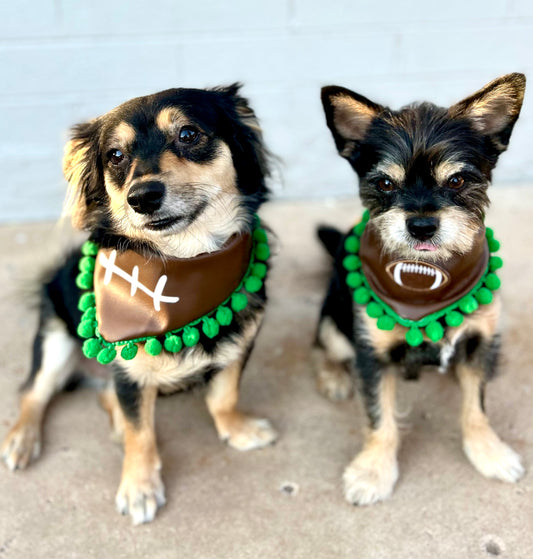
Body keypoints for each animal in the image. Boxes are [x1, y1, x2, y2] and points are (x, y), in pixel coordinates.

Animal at [3, 84, 278, 524]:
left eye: (188, 134)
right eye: (115, 155)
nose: (143, 197)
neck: (183, 264)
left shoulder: (239, 344)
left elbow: (223, 397)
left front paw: (237, 430)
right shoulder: (128, 373)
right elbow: (141, 433)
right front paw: (139, 486)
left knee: (101, 396)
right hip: (55, 338)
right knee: (35, 392)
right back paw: (21, 438)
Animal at [314, 72, 524, 506]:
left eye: (458, 180)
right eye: (384, 183)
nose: (422, 225)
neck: (426, 279)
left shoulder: (478, 343)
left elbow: (476, 408)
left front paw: (489, 452)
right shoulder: (372, 355)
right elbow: (381, 418)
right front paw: (373, 472)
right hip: (335, 319)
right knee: (322, 345)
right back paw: (334, 377)